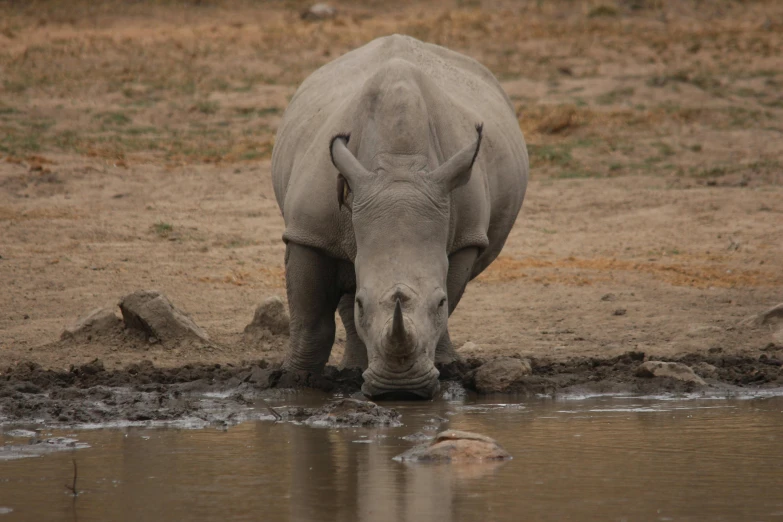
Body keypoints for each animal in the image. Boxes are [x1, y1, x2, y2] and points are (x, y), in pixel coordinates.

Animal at [272, 33, 528, 398]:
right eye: (363, 303)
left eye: (439, 302)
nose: (399, 390)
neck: (399, 165)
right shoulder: (309, 233)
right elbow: (310, 318)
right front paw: (296, 383)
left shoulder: (465, 237)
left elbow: (448, 302)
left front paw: (442, 371)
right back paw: (351, 371)